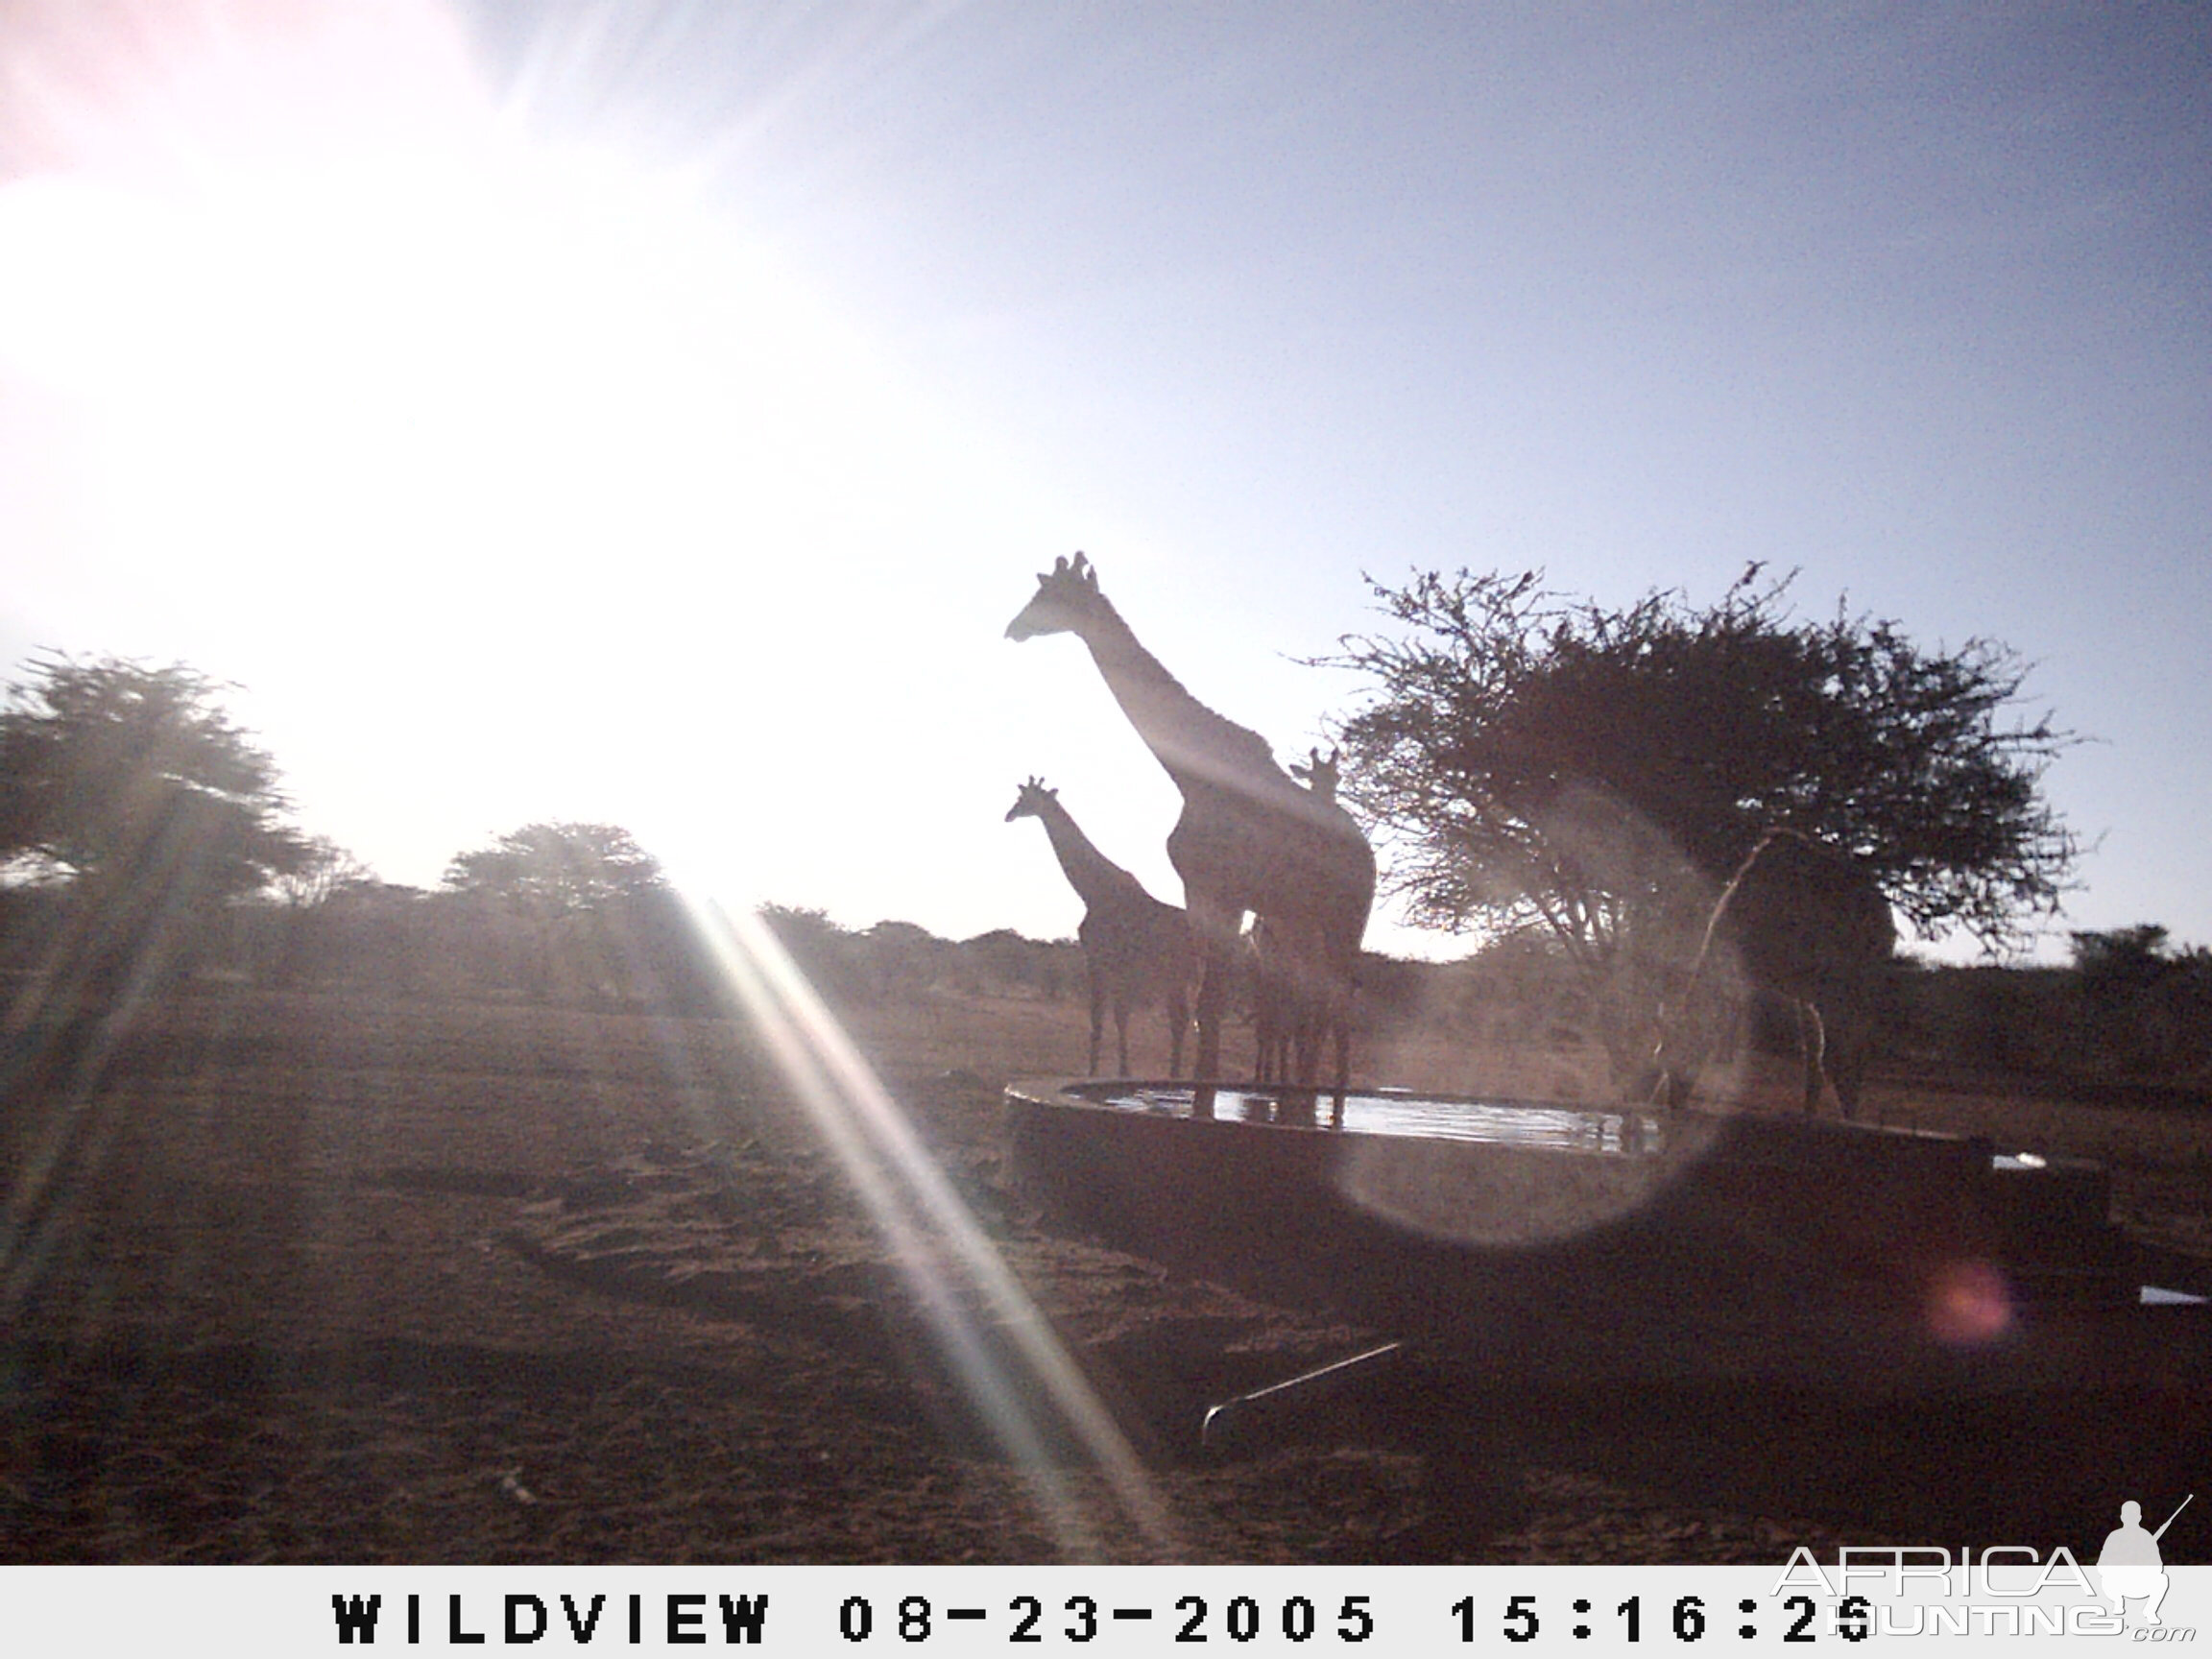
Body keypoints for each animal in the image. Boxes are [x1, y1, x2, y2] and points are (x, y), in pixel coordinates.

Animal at [1004, 779, 1194, 1079]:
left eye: (1026, 799)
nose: (1009, 815)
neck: (1093, 891)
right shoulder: (1110, 965)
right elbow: (1112, 1016)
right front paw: (1115, 1070)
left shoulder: (1101, 960)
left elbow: (1106, 1017)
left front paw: (1105, 1071)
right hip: (1176, 977)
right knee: (1182, 1018)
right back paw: (1174, 1075)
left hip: (1176, 975)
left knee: (1181, 1019)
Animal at [1646, 827, 1902, 1123]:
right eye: (1661, 1058)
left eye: (1686, 1057)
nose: (1674, 1102)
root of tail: (1887, 921)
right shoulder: (1794, 989)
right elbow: (1811, 1055)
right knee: (1832, 1051)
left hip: (1854, 982)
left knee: (1850, 1049)